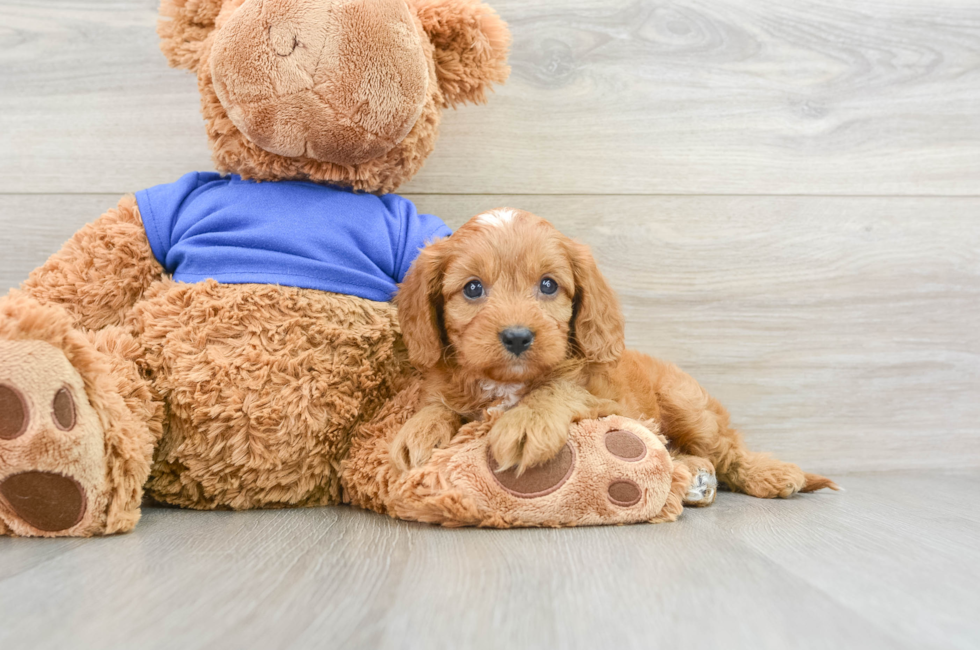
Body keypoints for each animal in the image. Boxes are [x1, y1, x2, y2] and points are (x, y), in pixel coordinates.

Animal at [390, 208, 836, 496]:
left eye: (548, 285)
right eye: (473, 288)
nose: (517, 337)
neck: (507, 385)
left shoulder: (609, 403)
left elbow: (560, 389)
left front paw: (526, 423)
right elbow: (440, 406)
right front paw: (419, 433)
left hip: (687, 405)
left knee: (727, 451)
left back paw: (772, 475)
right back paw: (690, 473)